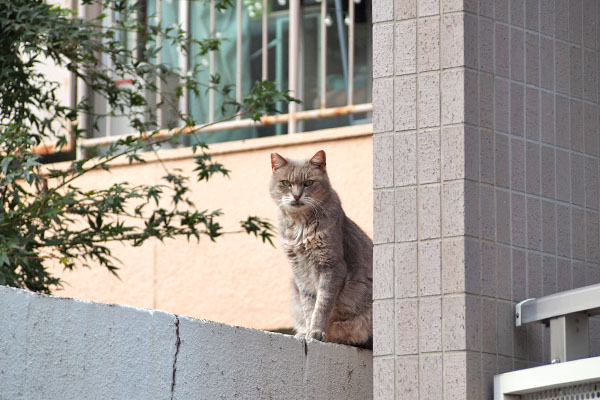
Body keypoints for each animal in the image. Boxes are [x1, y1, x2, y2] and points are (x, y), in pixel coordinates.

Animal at [270, 150, 372, 350]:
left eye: (308, 183)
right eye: (286, 183)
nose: (296, 196)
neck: (300, 226)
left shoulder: (332, 267)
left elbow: (322, 303)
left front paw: (316, 332)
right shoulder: (300, 272)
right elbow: (309, 304)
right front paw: (308, 332)